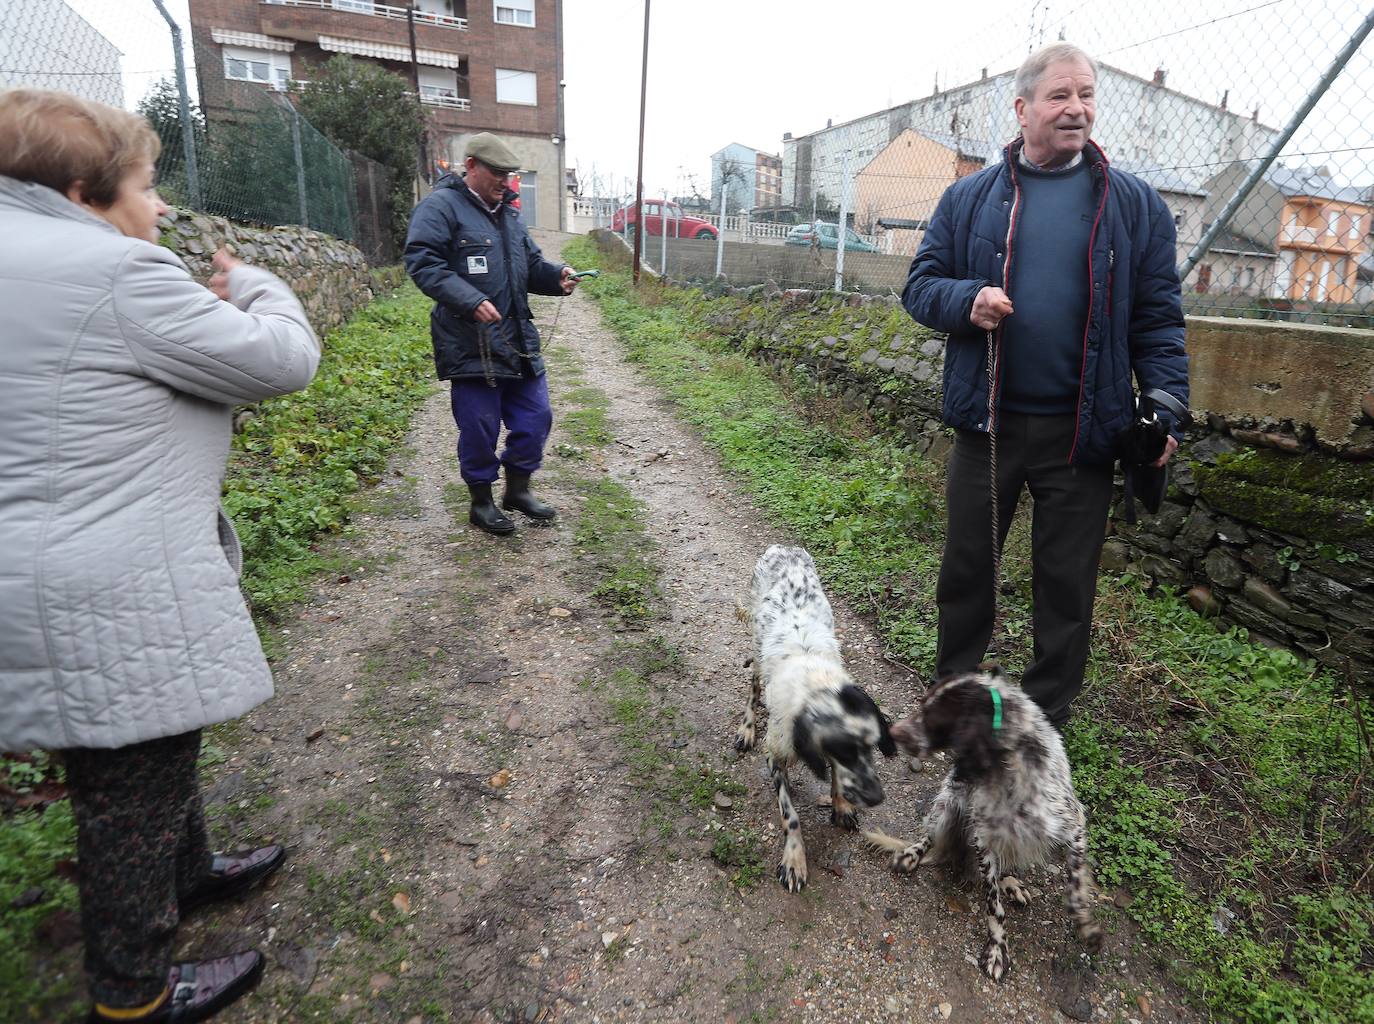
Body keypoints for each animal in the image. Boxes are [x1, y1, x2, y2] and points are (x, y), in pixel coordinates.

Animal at [736, 547, 895, 890]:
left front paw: (841, 805)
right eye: (844, 750)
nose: (876, 797)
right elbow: (790, 816)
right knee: (753, 691)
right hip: (756, 651)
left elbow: (836, 779)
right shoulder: (775, 754)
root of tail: (781, 548)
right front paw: (794, 858)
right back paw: (746, 728)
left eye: (871, 746)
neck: (816, 684)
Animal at [868, 668, 1104, 978]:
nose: (892, 732)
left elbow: (1075, 894)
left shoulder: (1073, 826)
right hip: (947, 807)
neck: (1008, 773)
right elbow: (993, 905)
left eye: (933, 717)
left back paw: (1011, 884)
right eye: (922, 703)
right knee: (929, 837)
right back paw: (910, 855)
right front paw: (996, 948)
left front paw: (1087, 928)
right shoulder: (983, 839)